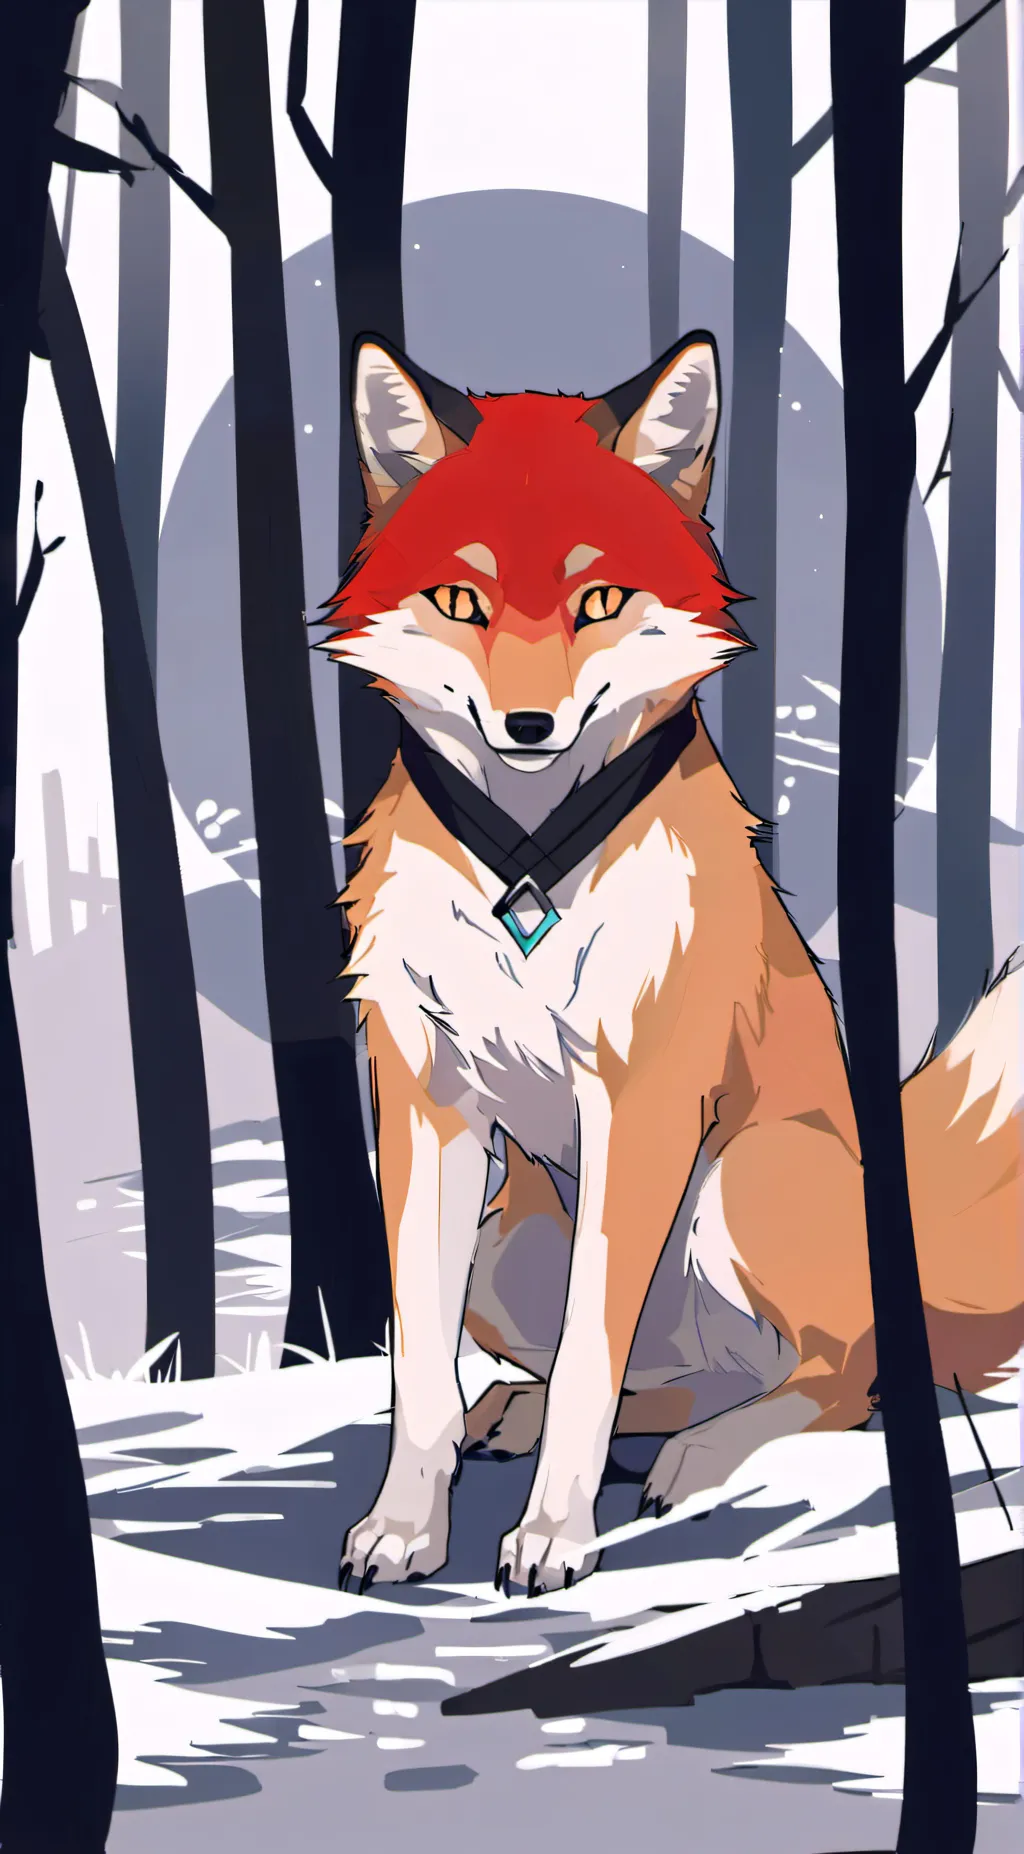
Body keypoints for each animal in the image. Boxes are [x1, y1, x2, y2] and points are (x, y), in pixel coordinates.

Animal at [325, 332, 1022, 1596]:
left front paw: (551, 1539)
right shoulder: (424, 1103)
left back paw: (700, 1457)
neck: (528, 866)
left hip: (743, 1187)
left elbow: (588, 1375)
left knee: (830, 1382)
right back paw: (542, 1413)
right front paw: (403, 1529)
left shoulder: (638, 1104)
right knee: (661, 1384)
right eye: (460, 600)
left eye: (599, 600)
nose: (530, 726)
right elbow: (423, 1377)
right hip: (512, 1242)